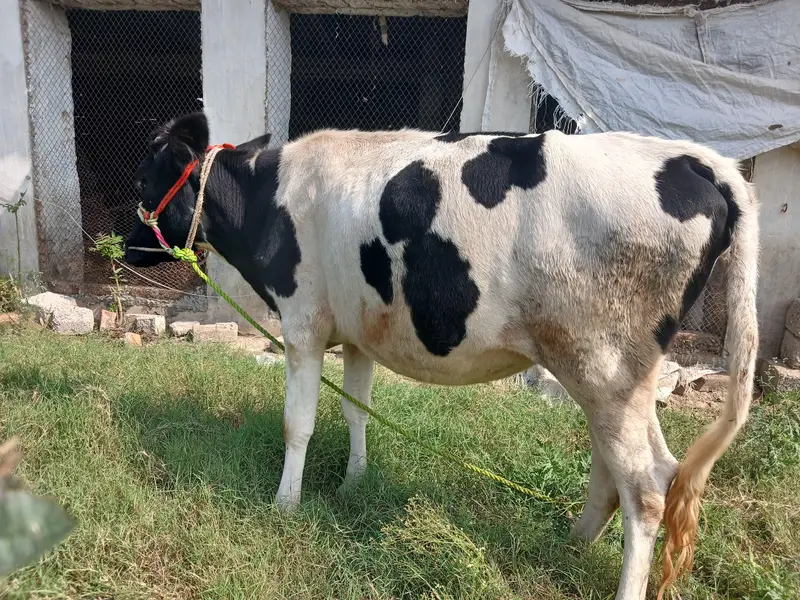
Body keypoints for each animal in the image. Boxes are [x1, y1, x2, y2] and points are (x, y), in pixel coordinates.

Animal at [124, 112, 759, 600]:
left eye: (144, 177)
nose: (125, 244)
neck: (269, 198)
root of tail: (690, 158)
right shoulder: (357, 332)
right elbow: (355, 409)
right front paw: (353, 483)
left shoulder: (302, 323)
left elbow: (297, 423)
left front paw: (285, 504)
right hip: (614, 375)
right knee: (635, 468)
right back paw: (574, 544)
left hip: (603, 366)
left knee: (646, 486)